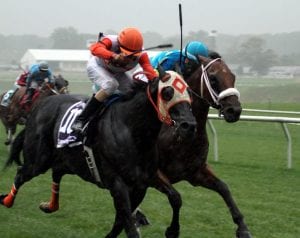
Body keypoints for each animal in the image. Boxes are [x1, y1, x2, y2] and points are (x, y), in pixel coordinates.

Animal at [0, 70, 196, 238]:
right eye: (167, 93)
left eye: (189, 92)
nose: (189, 125)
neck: (132, 130)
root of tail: (40, 106)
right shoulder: (117, 183)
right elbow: (127, 222)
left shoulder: (144, 180)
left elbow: (174, 198)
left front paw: (172, 230)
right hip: (38, 161)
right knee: (21, 173)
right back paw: (7, 200)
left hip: (68, 161)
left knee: (56, 173)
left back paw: (49, 205)